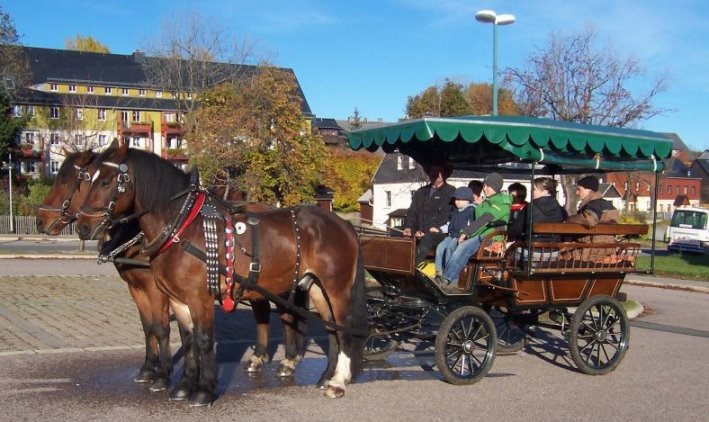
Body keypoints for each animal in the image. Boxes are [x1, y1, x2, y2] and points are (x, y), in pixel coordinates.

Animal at [35, 149, 306, 396]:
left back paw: (288, 361)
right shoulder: (138, 288)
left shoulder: (157, 290)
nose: (40, 220)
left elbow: (162, 328)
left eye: (67, 180)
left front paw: (164, 376)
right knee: (270, 313)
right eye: (87, 180)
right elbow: (149, 328)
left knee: (286, 313)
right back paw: (263, 359)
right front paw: (149, 369)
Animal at [75, 142, 368, 406]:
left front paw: (204, 391)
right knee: (331, 327)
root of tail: (343, 225)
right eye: (88, 179)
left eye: (107, 181)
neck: (183, 228)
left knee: (344, 329)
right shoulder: (177, 299)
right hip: (316, 287)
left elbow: (204, 340)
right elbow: (188, 340)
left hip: (336, 289)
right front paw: (184, 386)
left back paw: (338, 382)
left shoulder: (199, 298)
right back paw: (326, 376)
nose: (82, 226)